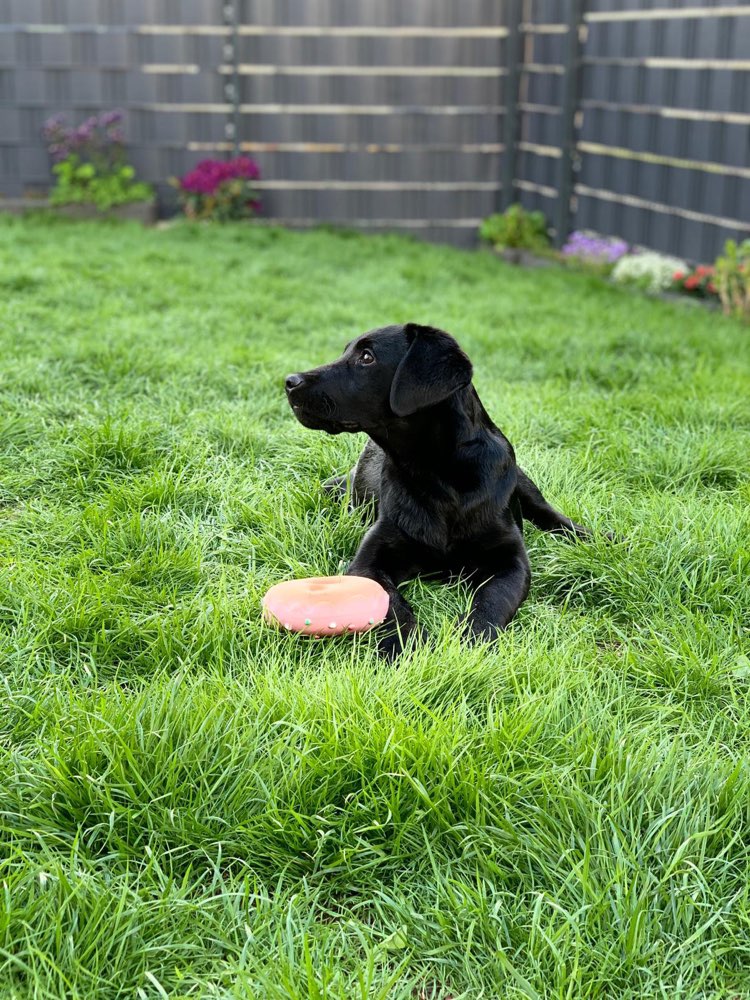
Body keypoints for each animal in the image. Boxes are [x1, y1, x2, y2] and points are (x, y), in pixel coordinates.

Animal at [286, 320, 592, 660]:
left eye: (366, 357)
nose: (290, 381)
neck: (439, 476)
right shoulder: (370, 560)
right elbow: (390, 604)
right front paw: (405, 646)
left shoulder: (511, 560)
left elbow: (493, 601)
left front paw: (471, 643)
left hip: (522, 484)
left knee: (552, 517)